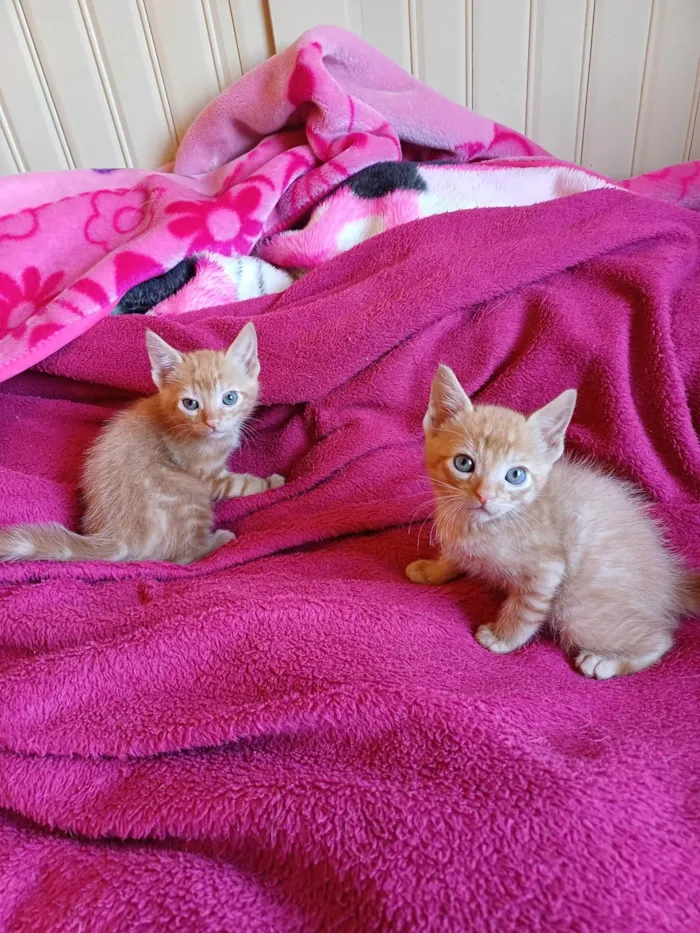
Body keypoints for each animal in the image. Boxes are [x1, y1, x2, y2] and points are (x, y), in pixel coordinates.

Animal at [0, 324, 284, 564]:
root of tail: (117, 535)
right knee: (182, 557)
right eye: (190, 404)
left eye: (230, 398)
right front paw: (272, 483)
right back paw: (219, 540)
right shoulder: (207, 474)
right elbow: (240, 484)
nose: (213, 423)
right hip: (190, 494)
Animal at [408, 364, 696, 676]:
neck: (476, 523)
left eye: (516, 475)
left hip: (576, 609)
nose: (485, 495)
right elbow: (453, 557)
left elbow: (524, 610)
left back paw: (605, 662)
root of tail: (670, 581)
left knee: (661, 639)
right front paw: (432, 569)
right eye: (464, 463)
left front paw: (502, 638)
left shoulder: (547, 569)